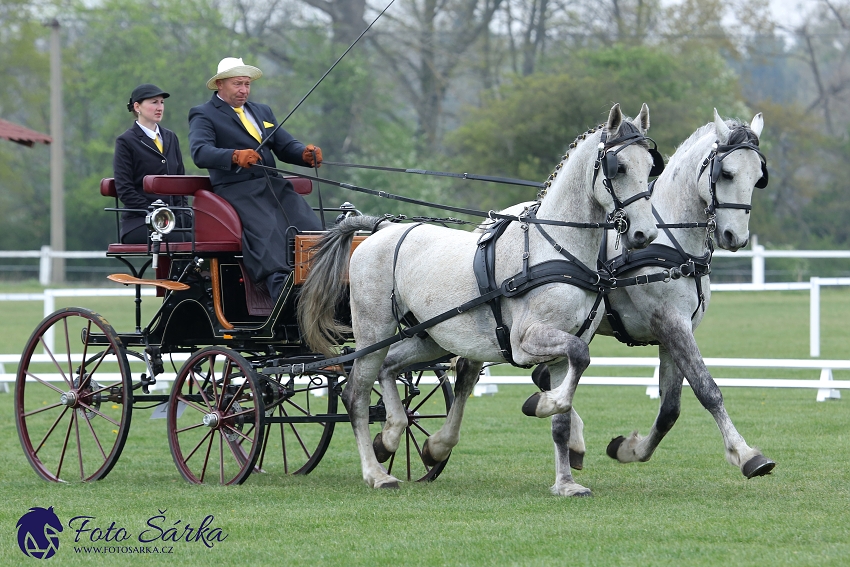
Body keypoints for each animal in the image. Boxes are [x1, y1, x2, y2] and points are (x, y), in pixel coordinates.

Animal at [300, 104, 664, 494]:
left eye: (650, 166)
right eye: (618, 167)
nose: (644, 233)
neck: (556, 248)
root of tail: (382, 229)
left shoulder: (562, 349)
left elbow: (563, 418)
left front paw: (565, 481)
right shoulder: (526, 341)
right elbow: (578, 363)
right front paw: (540, 405)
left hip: (430, 337)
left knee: (390, 367)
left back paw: (393, 435)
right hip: (373, 333)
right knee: (357, 394)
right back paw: (376, 473)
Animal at [536, 111, 776, 488]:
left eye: (757, 176)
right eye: (726, 173)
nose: (734, 237)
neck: (671, 241)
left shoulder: (674, 330)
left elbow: (670, 408)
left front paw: (629, 449)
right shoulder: (671, 322)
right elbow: (708, 389)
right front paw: (747, 454)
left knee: (545, 375)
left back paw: (571, 439)